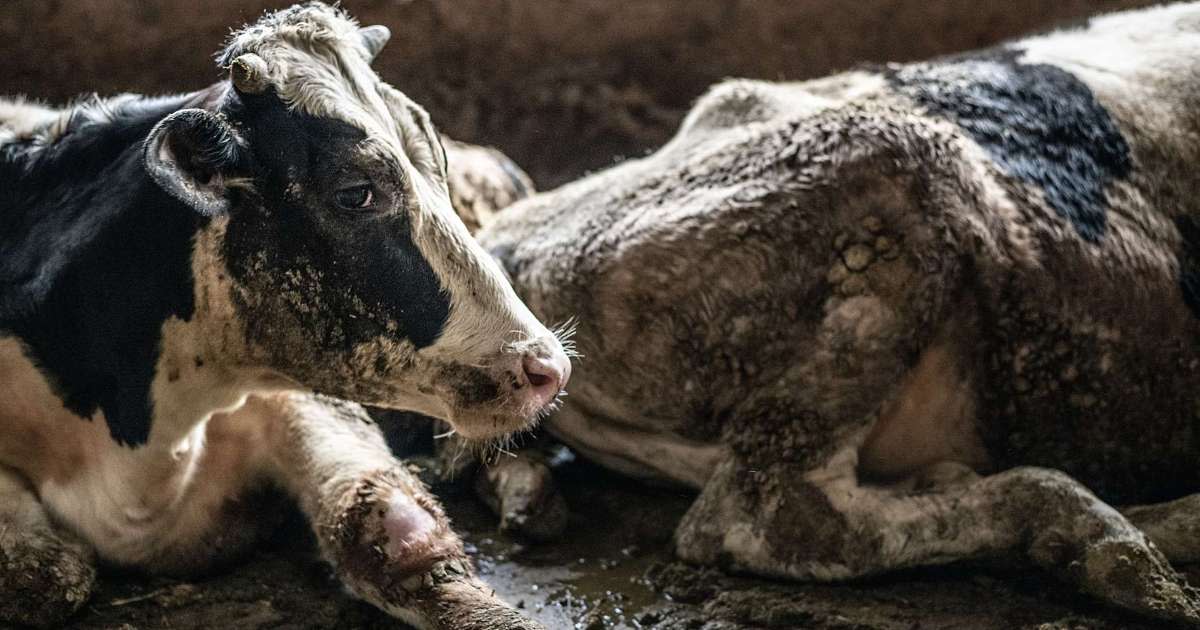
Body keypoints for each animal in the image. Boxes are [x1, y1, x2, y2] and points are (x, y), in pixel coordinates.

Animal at [0, 4, 571, 628]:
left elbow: (398, 537)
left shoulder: (300, 400)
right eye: (355, 192)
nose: (548, 368)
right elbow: (43, 575)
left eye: (435, 159)